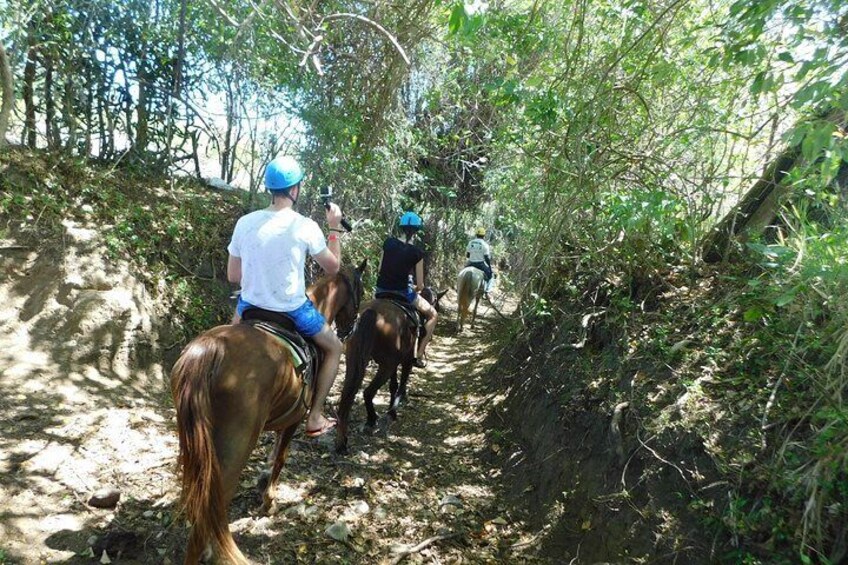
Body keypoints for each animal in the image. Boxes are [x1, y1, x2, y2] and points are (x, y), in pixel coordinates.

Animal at [169, 258, 364, 560]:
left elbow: (272, 454)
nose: (350, 330)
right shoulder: (294, 418)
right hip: (236, 444)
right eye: (361, 292)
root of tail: (209, 350)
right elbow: (280, 458)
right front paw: (269, 501)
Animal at [334, 286, 448, 454]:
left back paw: (342, 441)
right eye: (436, 303)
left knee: (349, 393)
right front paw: (393, 410)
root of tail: (371, 312)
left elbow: (393, 385)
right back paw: (371, 420)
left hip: (354, 359)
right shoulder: (406, 360)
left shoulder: (394, 362)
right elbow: (401, 384)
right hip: (386, 365)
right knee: (368, 392)